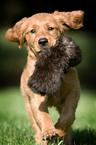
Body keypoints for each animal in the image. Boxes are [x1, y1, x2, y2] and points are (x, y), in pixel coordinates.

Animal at [6, 10, 83, 145]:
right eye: (32, 31)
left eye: (51, 28)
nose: (42, 41)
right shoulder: (36, 97)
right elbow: (42, 116)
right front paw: (49, 131)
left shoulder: (73, 92)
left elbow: (68, 116)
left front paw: (59, 132)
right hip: (27, 103)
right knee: (35, 124)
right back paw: (41, 139)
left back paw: (66, 140)